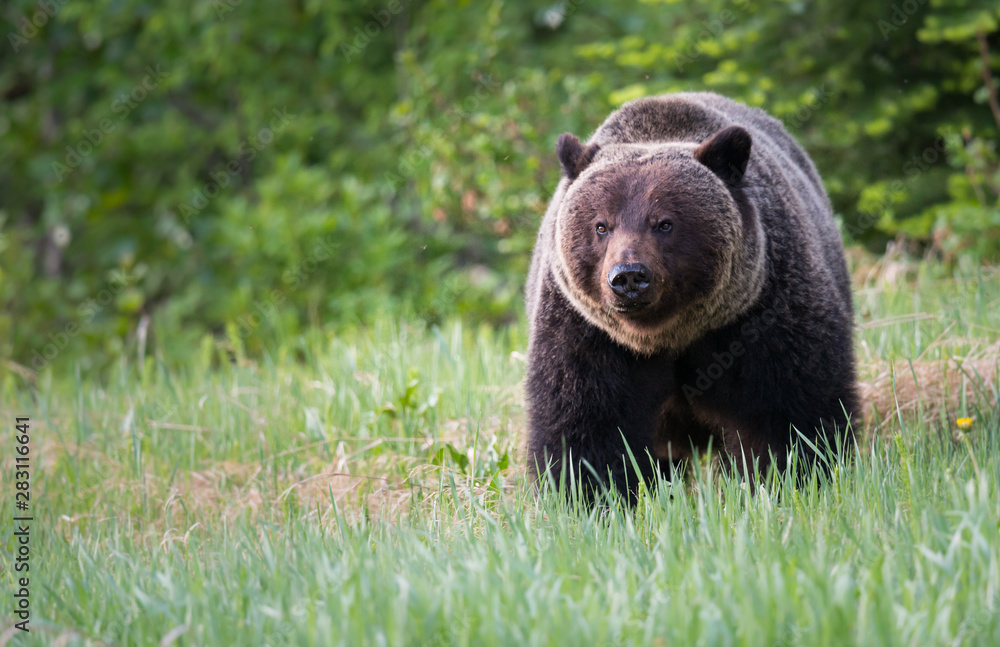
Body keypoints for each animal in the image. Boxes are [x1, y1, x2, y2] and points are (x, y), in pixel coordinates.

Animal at [525, 91, 860, 501]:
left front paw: (788, 479)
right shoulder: (587, 331)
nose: (629, 277)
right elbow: (586, 420)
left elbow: (789, 407)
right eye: (601, 225)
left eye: (664, 223)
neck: (669, 332)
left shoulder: (761, 311)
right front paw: (592, 496)